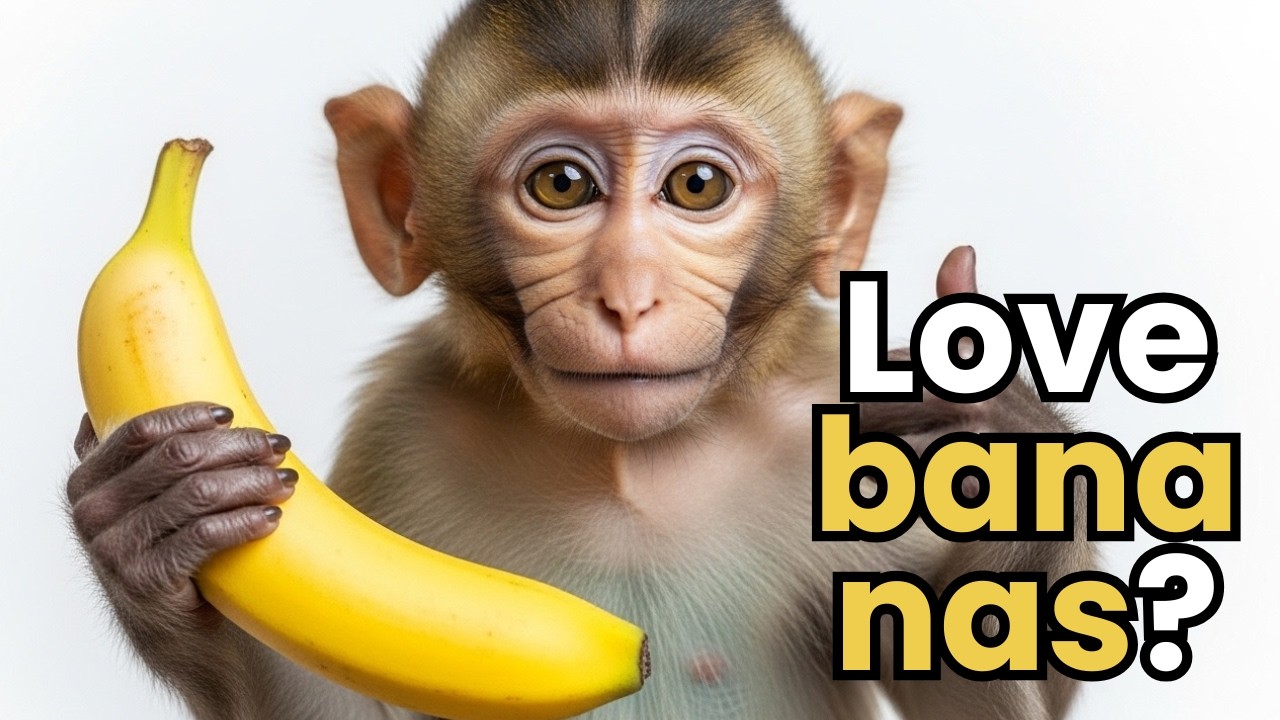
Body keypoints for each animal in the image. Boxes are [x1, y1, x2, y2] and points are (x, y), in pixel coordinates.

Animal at [65, 1, 1093, 718]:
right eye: (560, 185)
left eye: (697, 186)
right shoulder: (403, 424)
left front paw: (1003, 452)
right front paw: (152, 523)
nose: (629, 296)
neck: (627, 462)